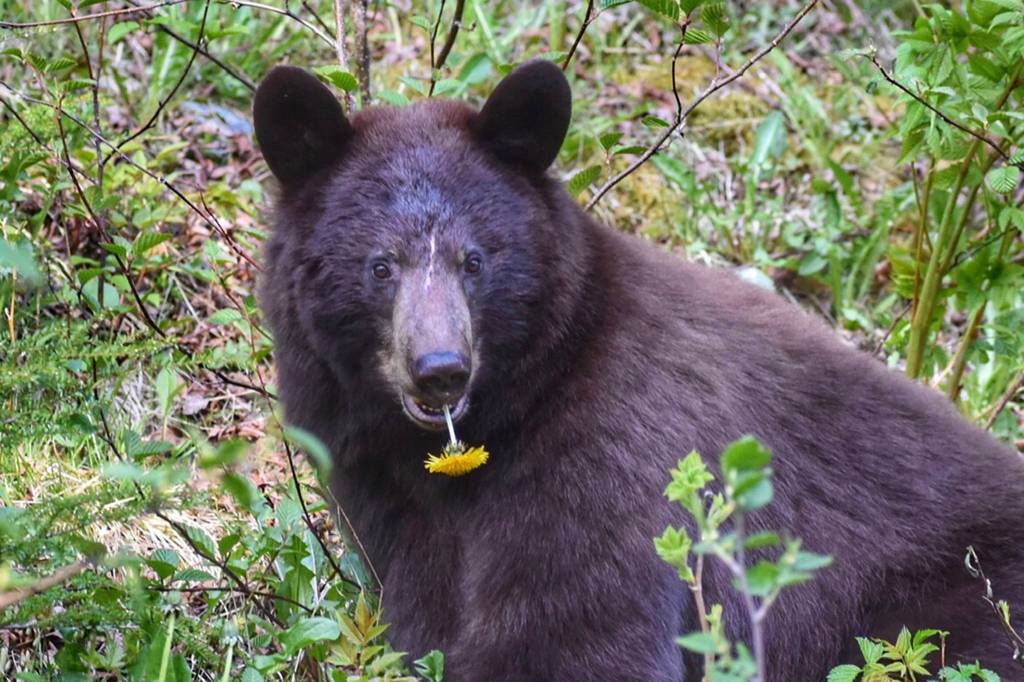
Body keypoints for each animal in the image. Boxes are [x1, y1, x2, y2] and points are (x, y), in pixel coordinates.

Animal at [253, 60, 1024, 680]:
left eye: (476, 260)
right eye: (380, 266)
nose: (439, 369)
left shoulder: (616, 454)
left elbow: (577, 632)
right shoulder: (386, 497)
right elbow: (422, 611)